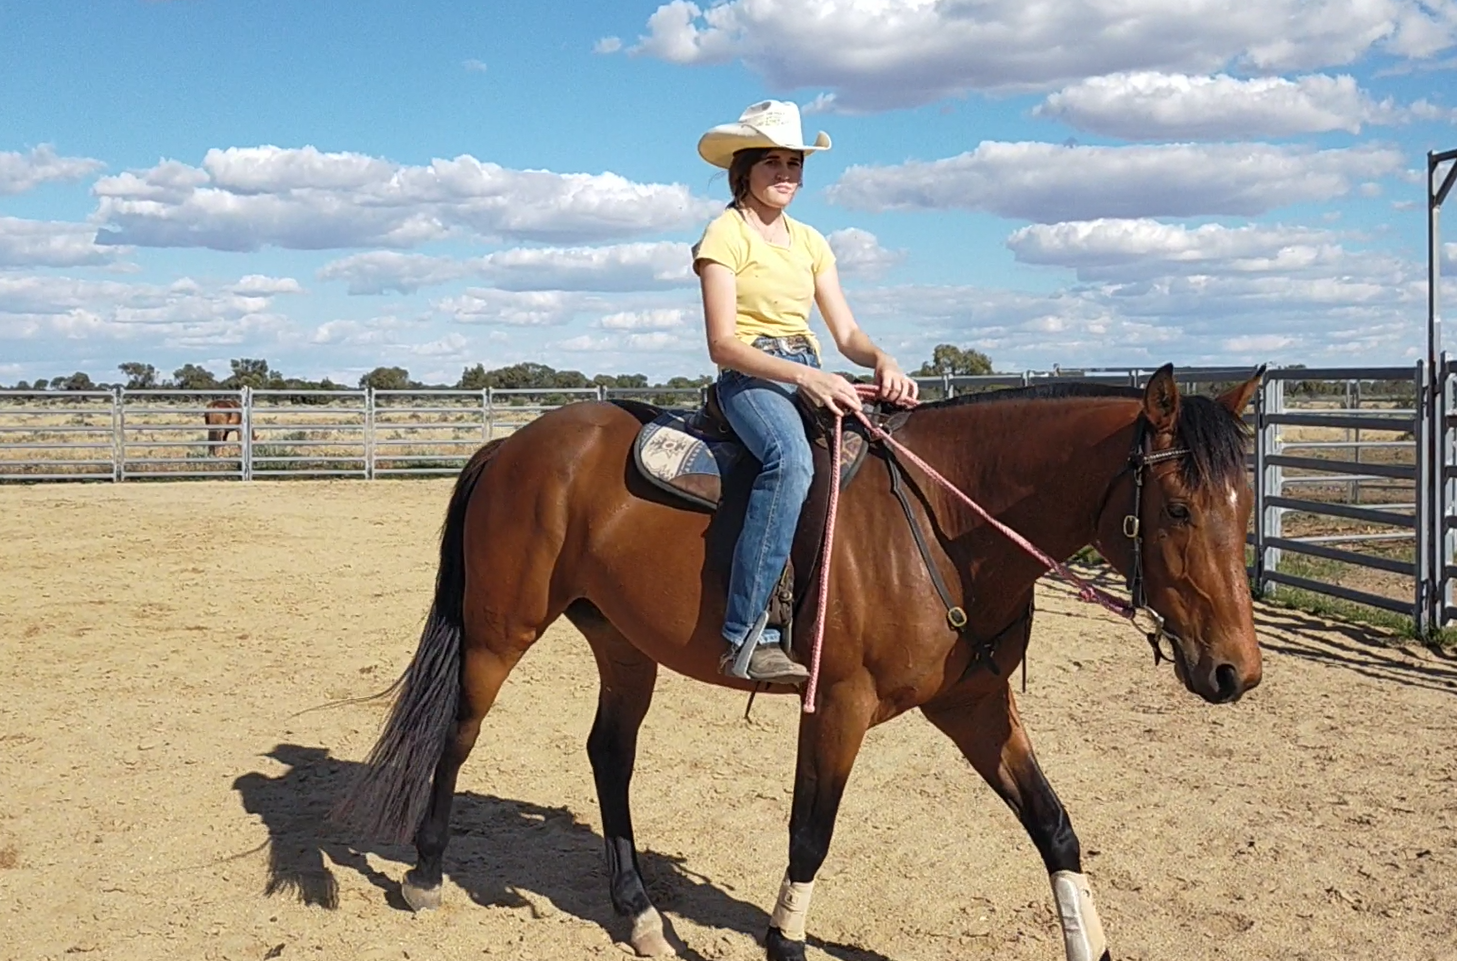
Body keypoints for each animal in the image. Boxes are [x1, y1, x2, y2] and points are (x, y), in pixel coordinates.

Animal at [332, 364, 1264, 961]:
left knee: (609, 755)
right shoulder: (838, 706)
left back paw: (638, 914)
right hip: (499, 630)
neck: (946, 526)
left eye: (1243, 504)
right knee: (458, 734)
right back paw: (424, 873)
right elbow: (809, 836)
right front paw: (784, 939)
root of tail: (513, 445)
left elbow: (1054, 825)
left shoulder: (976, 705)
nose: (1236, 672)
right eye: (1176, 508)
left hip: (623, 644)